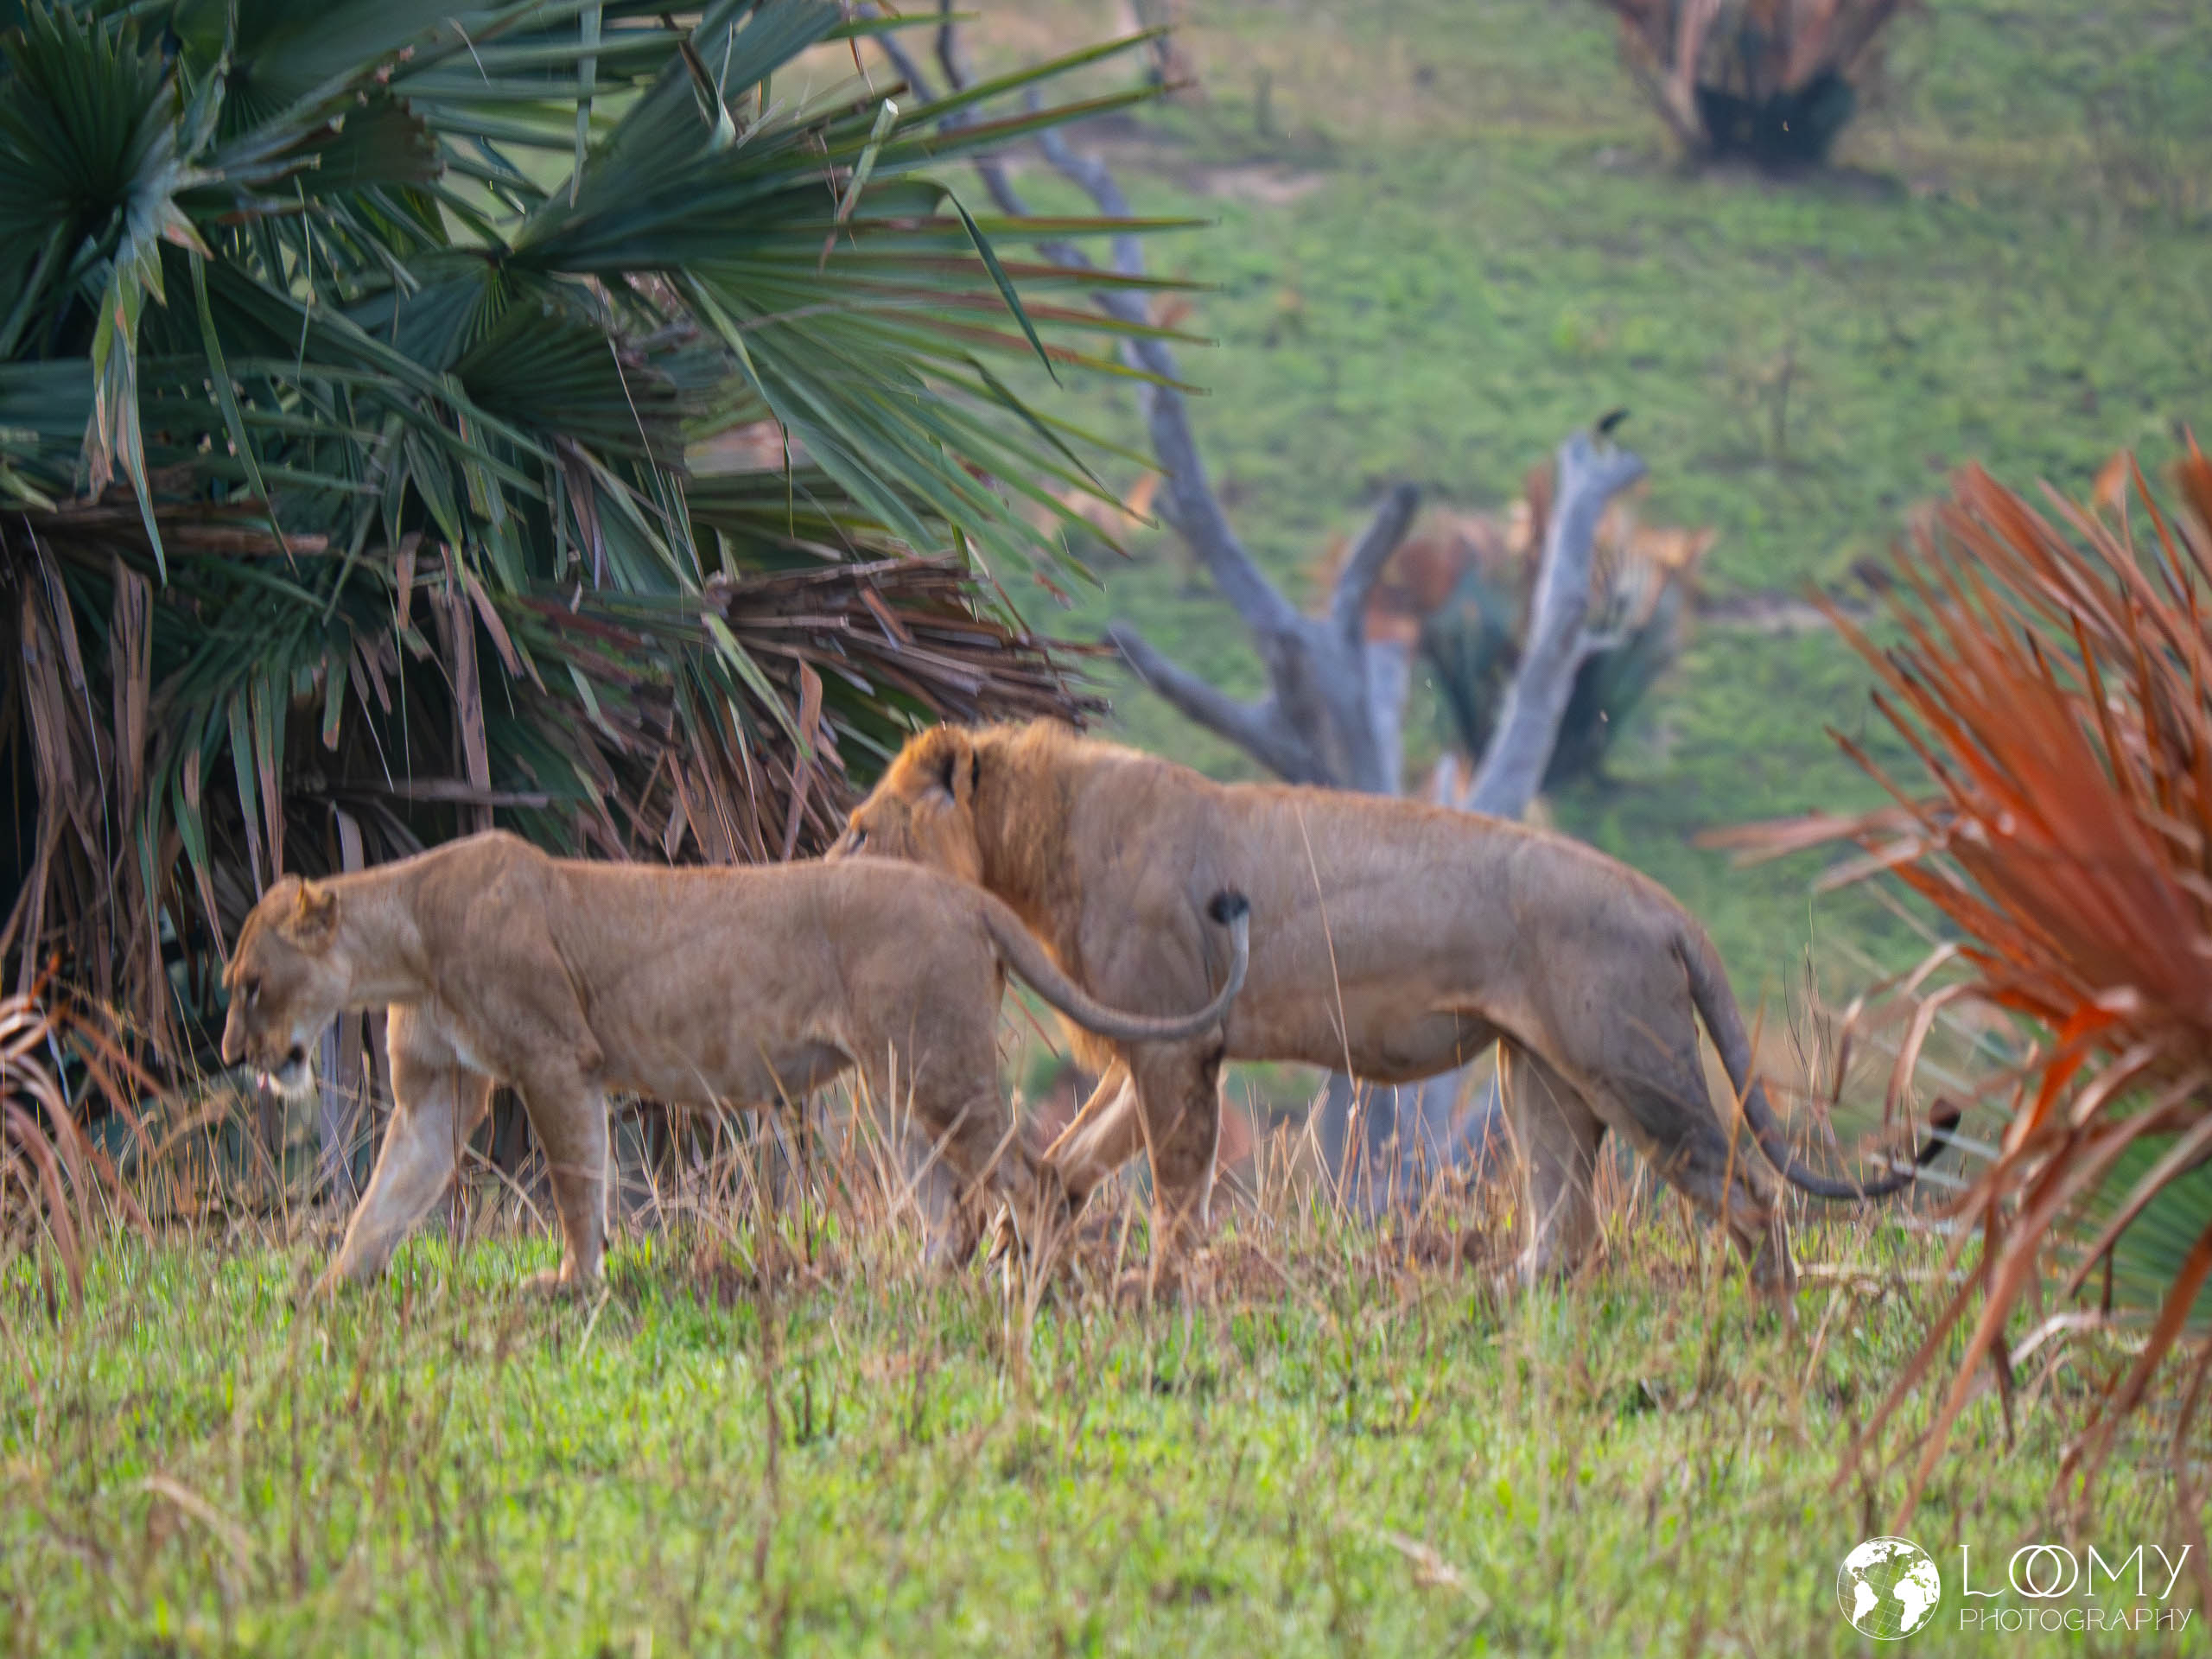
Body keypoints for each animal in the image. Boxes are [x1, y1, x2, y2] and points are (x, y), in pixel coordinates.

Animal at [220, 830, 1249, 1292]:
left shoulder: (556, 1060)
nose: (232, 1056)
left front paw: (574, 1283)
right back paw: (916, 1283)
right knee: (957, 1202)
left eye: (249, 984)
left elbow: (576, 1182)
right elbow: (385, 1202)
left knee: (1030, 1183)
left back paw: (1031, 1290)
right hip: (898, 1085)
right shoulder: (435, 1095)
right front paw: (324, 1294)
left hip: (935, 1069)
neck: (405, 942)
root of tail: (967, 897)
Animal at [830, 721, 1954, 1295]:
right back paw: (1498, 1295)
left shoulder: (1176, 1042)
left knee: (1749, 1195)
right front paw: (1022, 1239)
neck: (1032, 844)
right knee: (1567, 1221)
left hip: (1636, 1069)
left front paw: (1156, 1288)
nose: (825, 855)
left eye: (858, 826)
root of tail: (1666, 904)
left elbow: (1176, 1184)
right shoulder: (1153, 1039)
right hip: (1539, 1077)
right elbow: (1075, 1158)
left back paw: (1771, 1314)